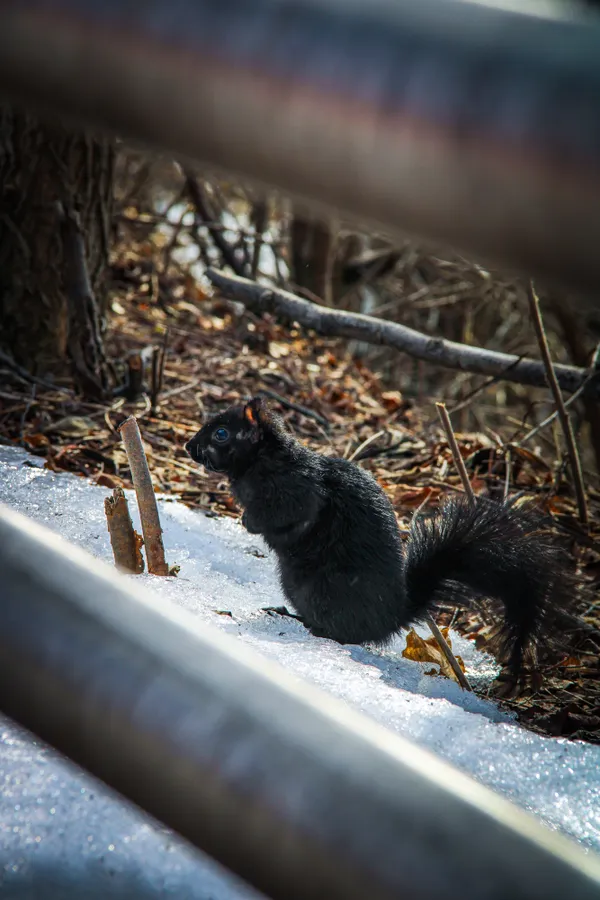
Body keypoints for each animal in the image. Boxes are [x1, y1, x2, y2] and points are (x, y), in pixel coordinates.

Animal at [185, 395, 575, 675]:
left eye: (221, 433)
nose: (190, 447)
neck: (262, 460)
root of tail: (391, 617)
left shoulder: (299, 491)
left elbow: (290, 517)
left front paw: (249, 521)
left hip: (324, 589)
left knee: (341, 633)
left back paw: (298, 621)